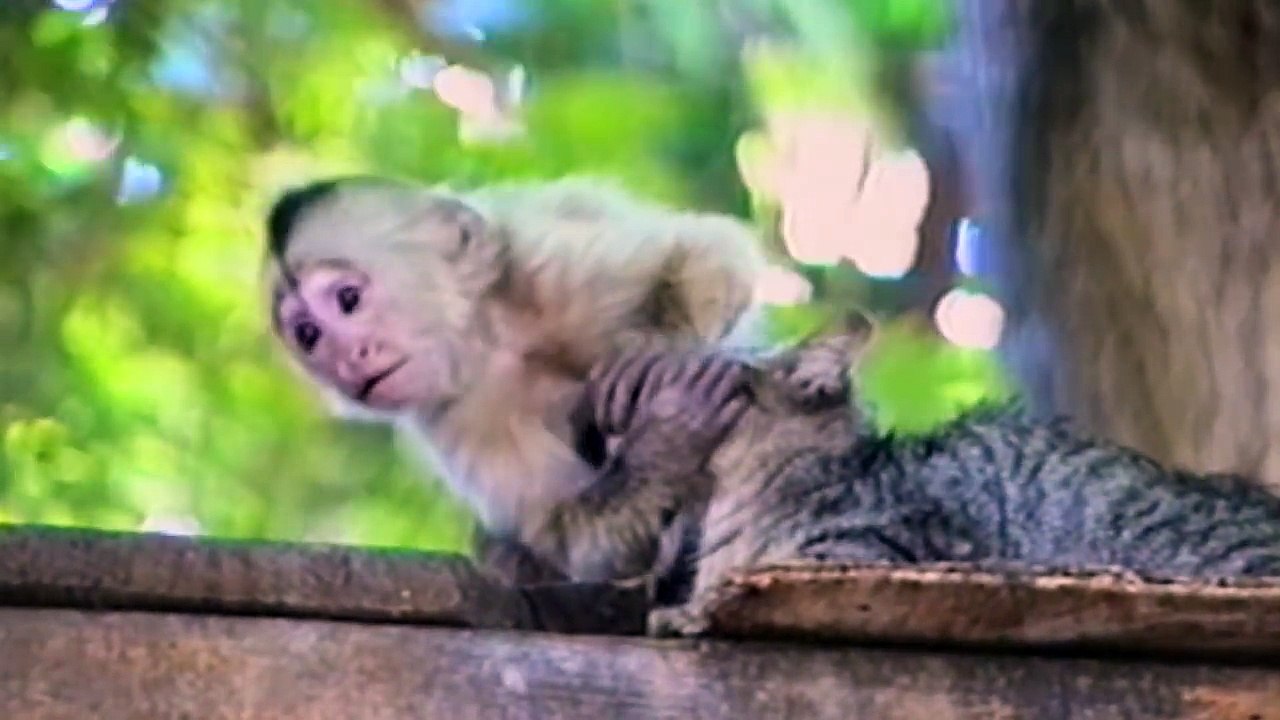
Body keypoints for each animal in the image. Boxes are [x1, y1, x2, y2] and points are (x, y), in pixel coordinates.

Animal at [261, 174, 769, 583]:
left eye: (348, 298)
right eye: (309, 335)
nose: (350, 360)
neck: (491, 337)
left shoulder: (545, 264)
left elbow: (706, 252)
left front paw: (658, 355)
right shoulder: (460, 416)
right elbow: (577, 536)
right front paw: (670, 432)